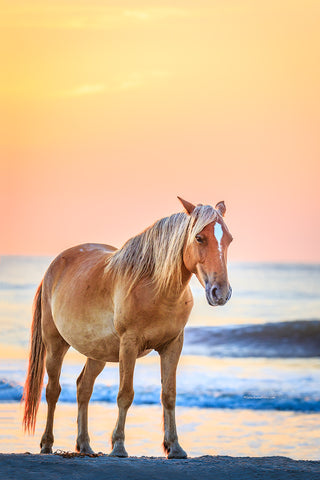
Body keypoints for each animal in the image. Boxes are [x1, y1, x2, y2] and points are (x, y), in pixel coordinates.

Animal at [22, 197, 232, 460]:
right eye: (200, 238)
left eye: (229, 239)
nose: (220, 292)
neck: (155, 287)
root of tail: (55, 266)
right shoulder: (129, 344)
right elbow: (125, 394)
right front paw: (119, 446)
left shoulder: (173, 345)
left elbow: (169, 395)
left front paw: (174, 447)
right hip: (55, 345)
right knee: (52, 391)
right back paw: (47, 444)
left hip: (97, 353)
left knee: (83, 388)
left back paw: (85, 446)